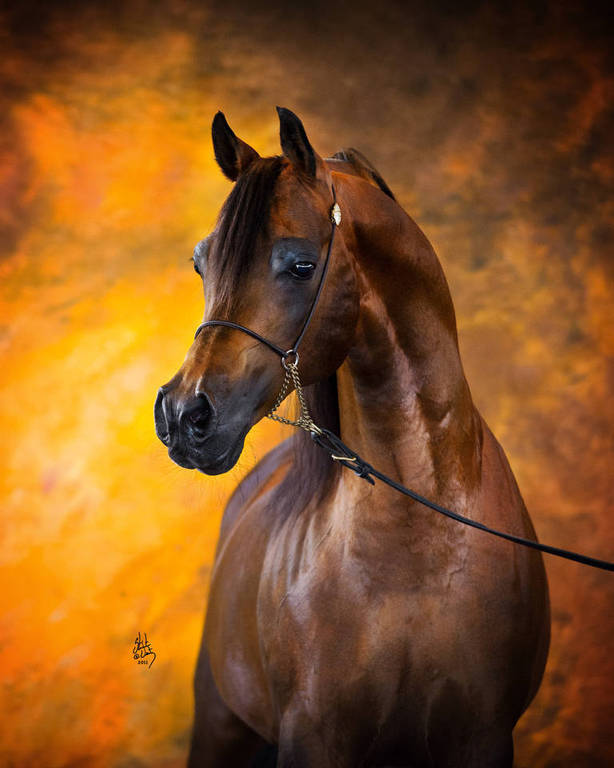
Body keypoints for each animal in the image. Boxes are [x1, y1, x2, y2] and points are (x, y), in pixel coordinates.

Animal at [154, 107, 550, 767]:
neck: (415, 549)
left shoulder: (482, 737)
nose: (184, 414)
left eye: (301, 265)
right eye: (200, 263)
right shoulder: (314, 739)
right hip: (220, 723)